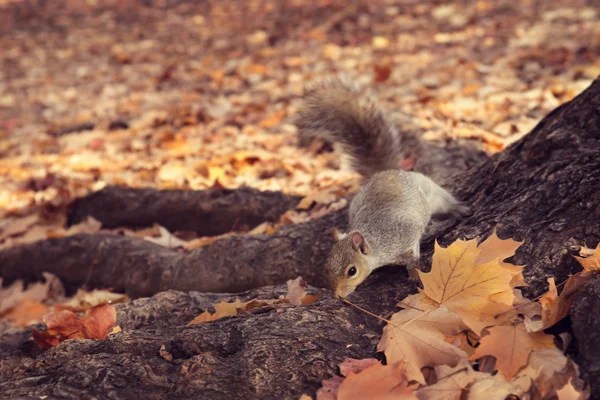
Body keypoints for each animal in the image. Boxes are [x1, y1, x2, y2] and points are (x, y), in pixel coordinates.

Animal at [294, 79, 468, 298]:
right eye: (327, 269)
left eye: (352, 271)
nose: (338, 296)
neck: (377, 244)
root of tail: (387, 171)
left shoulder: (405, 233)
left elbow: (413, 257)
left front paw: (415, 274)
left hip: (431, 191)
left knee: (444, 199)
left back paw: (456, 208)